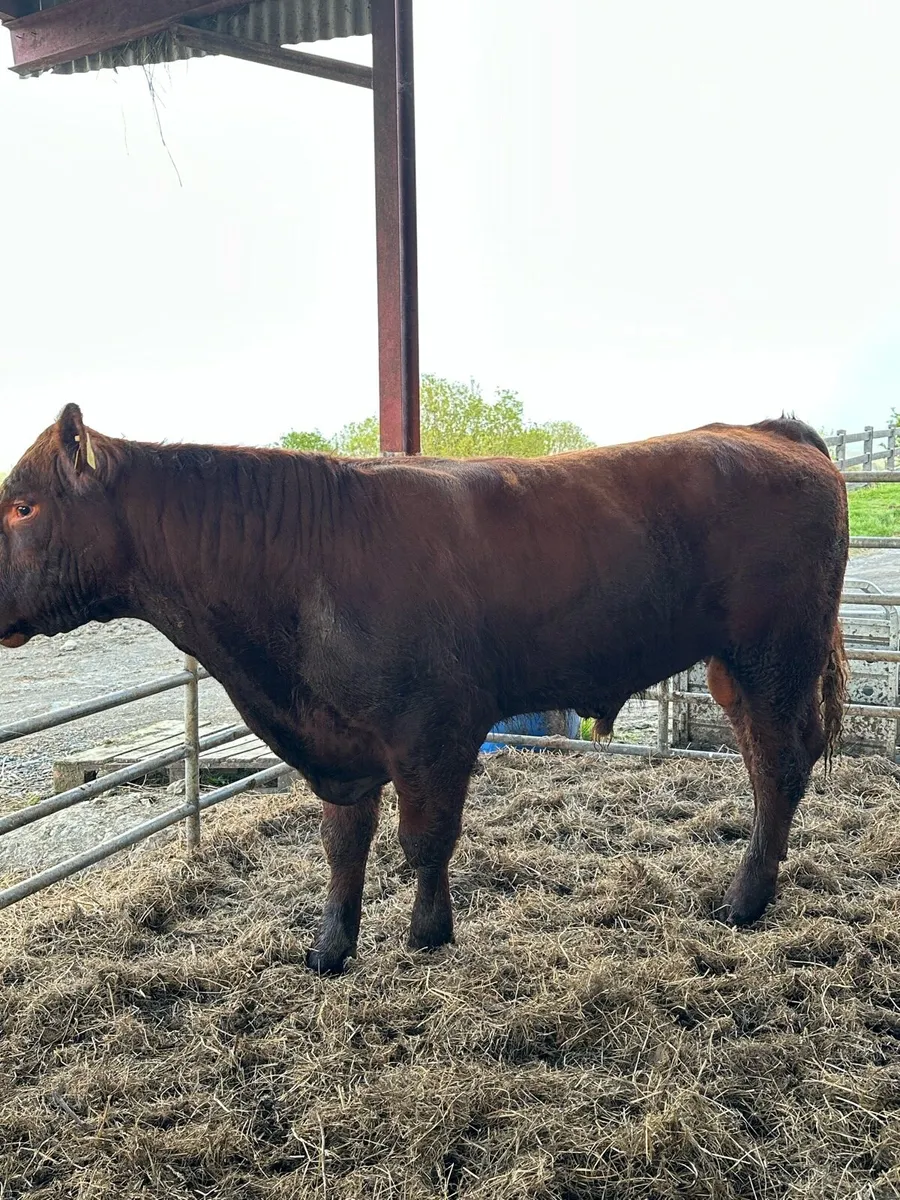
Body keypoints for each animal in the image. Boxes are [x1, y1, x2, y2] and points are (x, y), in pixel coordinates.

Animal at [0, 405, 848, 973]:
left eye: (22, 505)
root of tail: (769, 430)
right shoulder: (339, 741)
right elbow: (343, 843)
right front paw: (330, 947)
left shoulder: (433, 728)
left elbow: (425, 839)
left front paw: (427, 934)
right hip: (736, 670)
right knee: (764, 760)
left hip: (776, 654)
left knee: (780, 764)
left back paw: (745, 901)